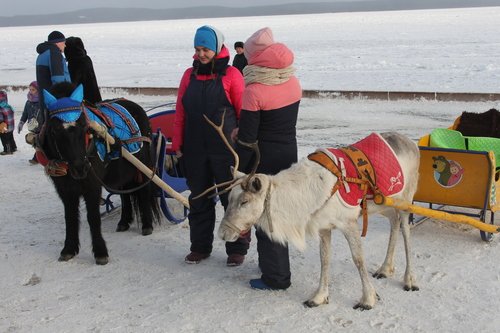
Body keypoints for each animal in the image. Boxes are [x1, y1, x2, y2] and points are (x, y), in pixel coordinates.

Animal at [40, 81, 159, 264]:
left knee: (143, 191)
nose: (80, 167)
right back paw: (124, 221)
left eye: (85, 127)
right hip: (121, 172)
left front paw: (100, 252)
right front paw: (69, 249)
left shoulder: (92, 186)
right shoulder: (65, 190)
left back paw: (147, 225)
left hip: (143, 165)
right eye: (54, 130)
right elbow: (70, 217)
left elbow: (93, 217)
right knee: (125, 194)